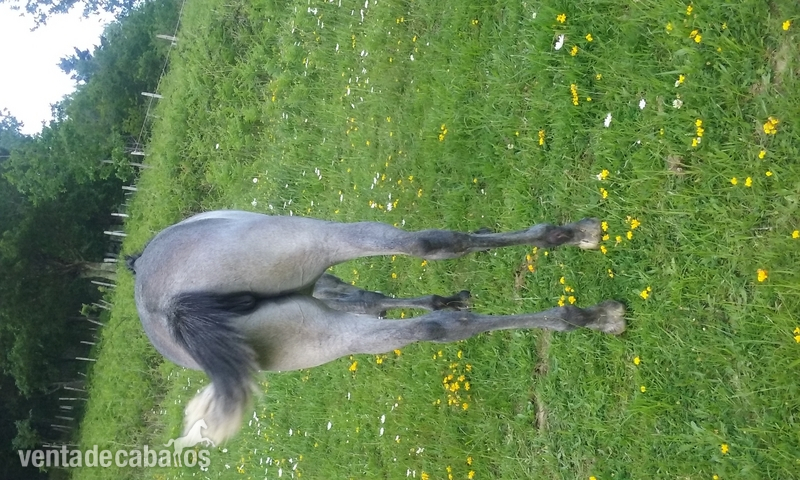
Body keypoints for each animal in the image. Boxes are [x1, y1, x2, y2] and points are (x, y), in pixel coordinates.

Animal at [127, 210, 625, 444]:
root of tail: (167, 306)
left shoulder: (322, 294)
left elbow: (369, 300)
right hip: (321, 237)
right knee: (435, 261)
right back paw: (590, 306)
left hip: (321, 333)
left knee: (419, 291)